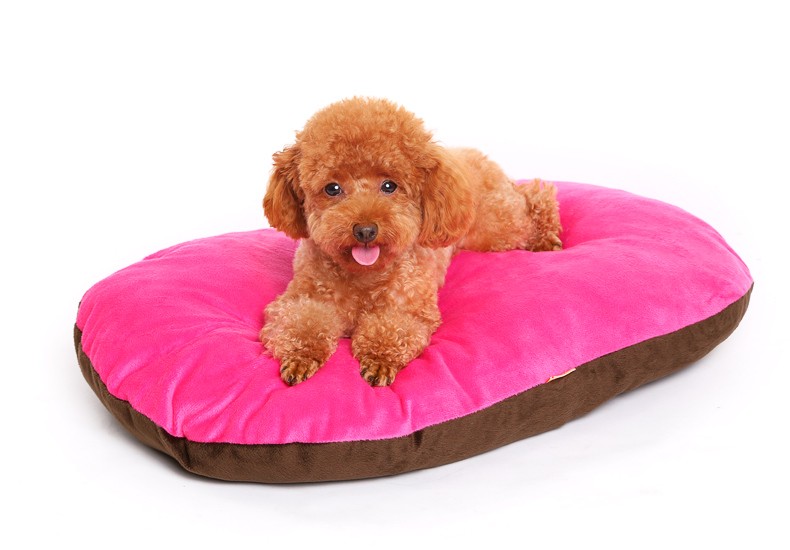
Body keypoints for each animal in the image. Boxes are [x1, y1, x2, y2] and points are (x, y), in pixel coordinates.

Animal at [260, 97, 561, 387]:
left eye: (389, 186)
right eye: (332, 188)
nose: (365, 230)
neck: (364, 275)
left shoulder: (408, 308)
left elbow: (392, 328)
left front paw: (380, 361)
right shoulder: (303, 298)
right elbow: (302, 322)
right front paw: (300, 358)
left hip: (496, 226)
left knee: (536, 194)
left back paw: (548, 234)